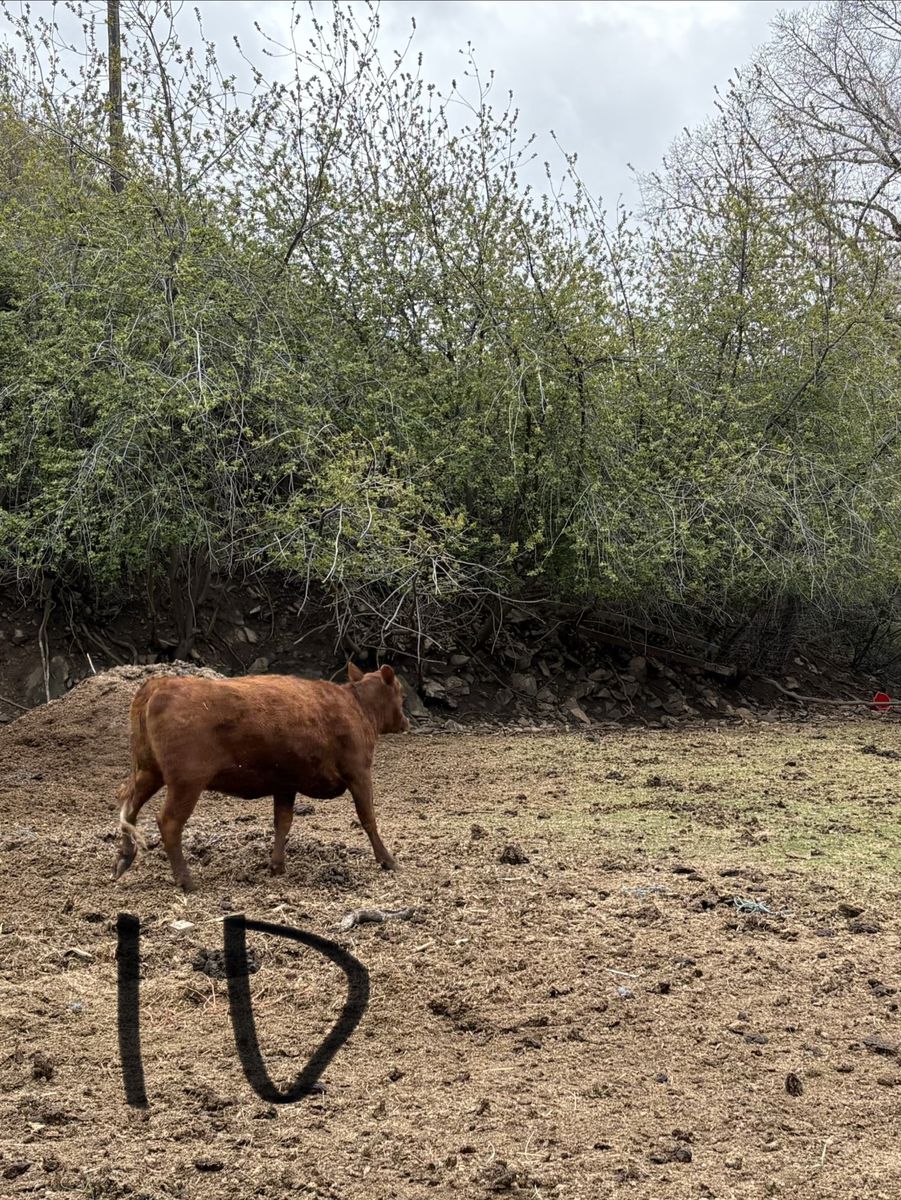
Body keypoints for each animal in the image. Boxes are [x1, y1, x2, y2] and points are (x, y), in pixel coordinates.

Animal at [114, 662, 410, 892]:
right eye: (401, 693)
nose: (406, 722)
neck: (356, 707)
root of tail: (160, 684)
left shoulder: (286, 783)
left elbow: (283, 822)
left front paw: (277, 865)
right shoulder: (359, 773)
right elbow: (368, 818)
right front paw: (388, 860)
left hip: (149, 772)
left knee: (129, 808)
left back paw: (124, 858)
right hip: (186, 783)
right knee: (169, 823)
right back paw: (186, 880)